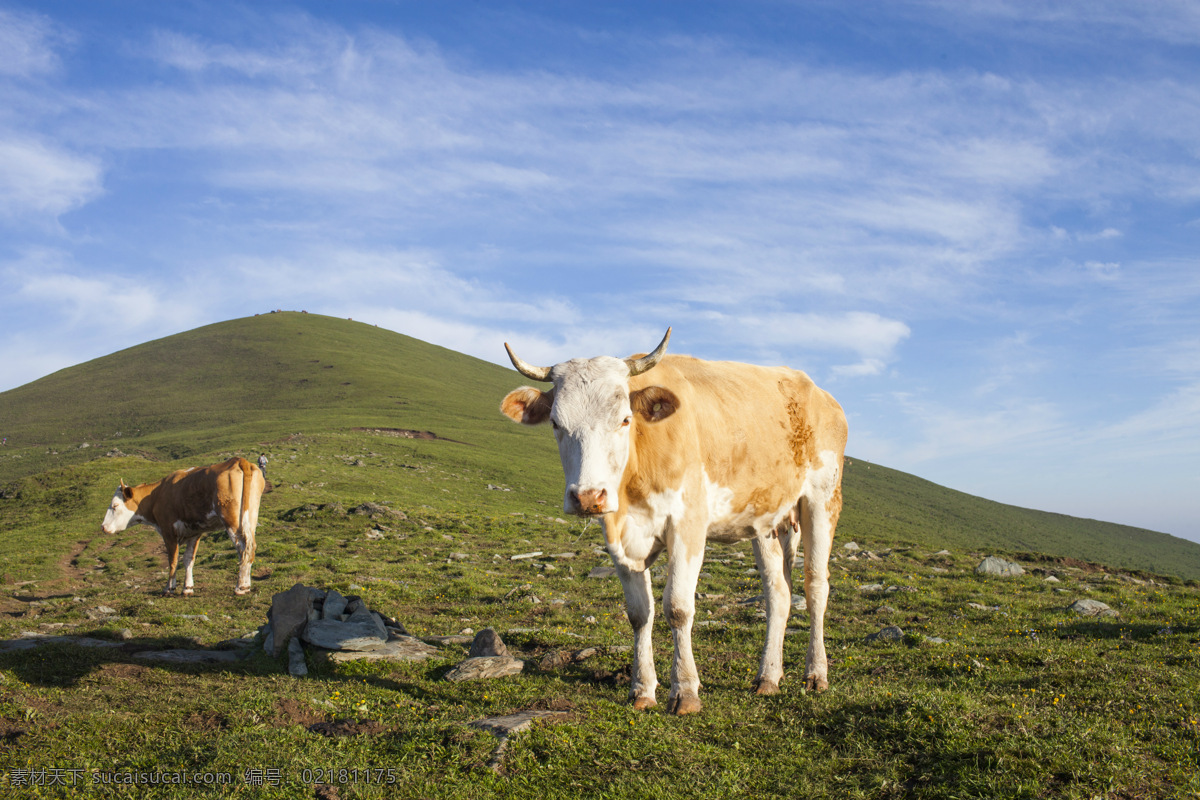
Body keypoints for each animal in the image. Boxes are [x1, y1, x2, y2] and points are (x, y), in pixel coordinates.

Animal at [100, 455, 265, 594]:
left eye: (115, 506)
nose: (103, 527)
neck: (156, 495)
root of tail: (239, 460)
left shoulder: (168, 531)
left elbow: (173, 560)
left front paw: (169, 588)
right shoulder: (194, 532)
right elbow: (188, 560)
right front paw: (187, 587)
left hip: (231, 519)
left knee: (243, 547)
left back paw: (240, 587)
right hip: (250, 517)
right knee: (250, 547)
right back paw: (246, 585)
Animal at [501, 328, 849, 714]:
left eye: (625, 419)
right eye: (556, 423)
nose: (588, 497)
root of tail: (818, 392)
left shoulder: (688, 525)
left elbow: (678, 608)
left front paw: (685, 690)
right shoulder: (620, 540)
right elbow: (640, 613)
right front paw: (642, 689)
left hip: (823, 498)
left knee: (816, 587)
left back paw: (816, 673)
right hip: (767, 518)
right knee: (779, 595)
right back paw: (768, 677)